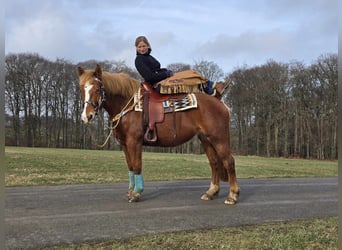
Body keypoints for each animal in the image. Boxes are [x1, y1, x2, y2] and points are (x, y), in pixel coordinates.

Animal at [77, 63, 239, 204]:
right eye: (81, 89)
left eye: (98, 88)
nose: (86, 116)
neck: (128, 105)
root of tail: (219, 103)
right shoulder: (124, 144)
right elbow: (130, 167)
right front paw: (130, 192)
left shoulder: (134, 142)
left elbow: (137, 166)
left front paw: (136, 193)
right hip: (206, 139)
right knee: (214, 163)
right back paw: (211, 192)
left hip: (218, 138)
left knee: (229, 162)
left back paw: (232, 195)